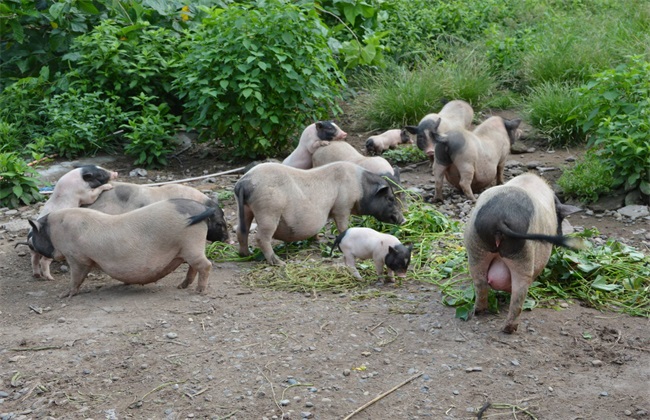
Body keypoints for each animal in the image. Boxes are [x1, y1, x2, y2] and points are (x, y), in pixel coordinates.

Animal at [28, 198, 215, 298]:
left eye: (34, 236)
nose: (30, 244)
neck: (55, 231)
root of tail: (202, 208)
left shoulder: (77, 257)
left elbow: (77, 277)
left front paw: (64, 295)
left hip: (192, 243)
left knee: (206, 265)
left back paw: (200, 291)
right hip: (188, 248)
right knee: (193, 267)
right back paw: (181, 286)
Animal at [233, 162, 404, 264]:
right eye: (390, 198)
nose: (402, 220)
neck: (361, 188)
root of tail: (243, 183)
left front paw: (318, 239)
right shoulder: (342, 207)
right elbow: (343, 226)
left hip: (246, 209)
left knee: (241, 231)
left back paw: (245, 254)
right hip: (268, 211)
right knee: (261, 238)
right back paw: (279, 263)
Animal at [460, 172, 584, 334]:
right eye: (561, 219)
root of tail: (500, 220)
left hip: (475, 246)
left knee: (480, 282)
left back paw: (479, 312)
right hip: (524, 255)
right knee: (519, 292)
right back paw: (509, 329)